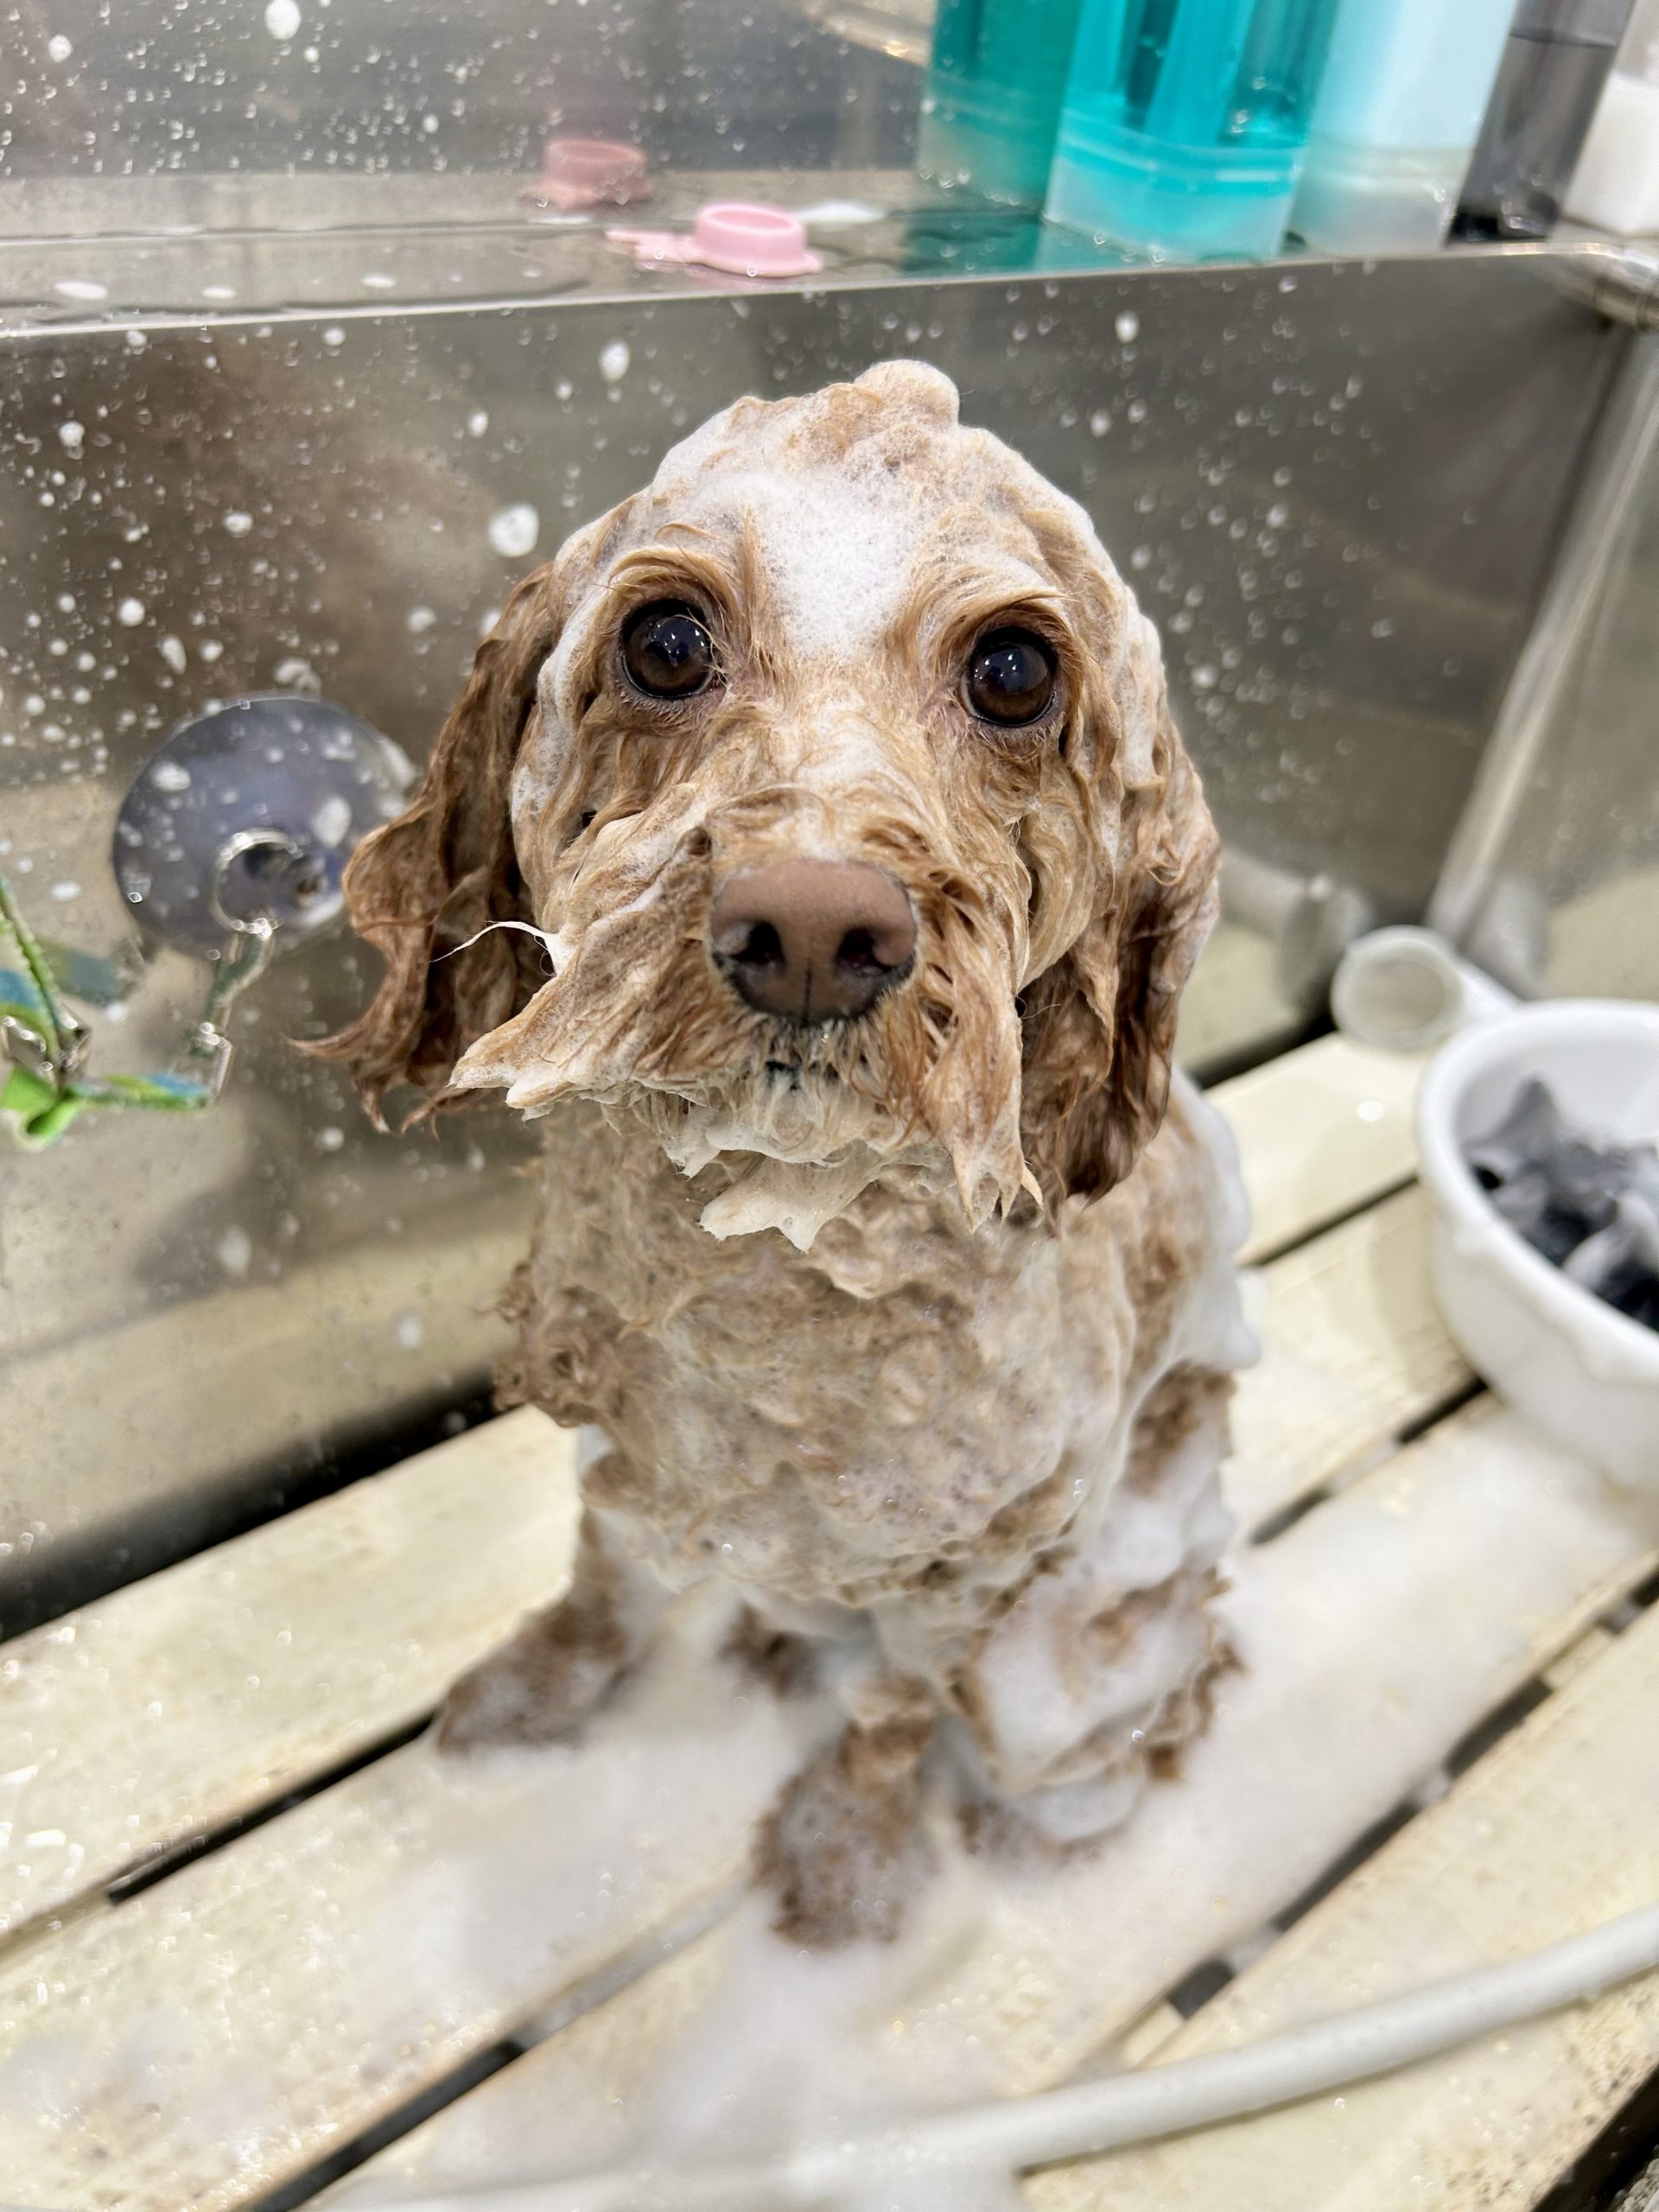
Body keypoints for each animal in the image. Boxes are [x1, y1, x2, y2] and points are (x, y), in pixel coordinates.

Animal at [323, 361, 1253, 1946]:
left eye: (1016, 671)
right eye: (666, 640)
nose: (816, 927)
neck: (777, 1295)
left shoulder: (967, 1566)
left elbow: (891, 1713)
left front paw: (846, 1860)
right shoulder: (626, 1439)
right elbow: (605, 1584)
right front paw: (541, 1687)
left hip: (1059, 1676)